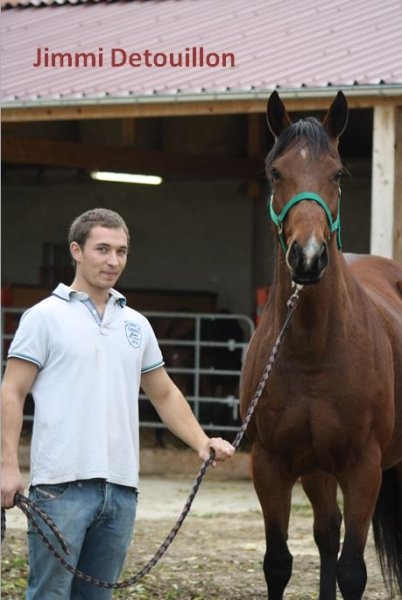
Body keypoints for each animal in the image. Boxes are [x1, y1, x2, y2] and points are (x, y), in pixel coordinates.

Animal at [240, 91, 402, 600]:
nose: (308, 258)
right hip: (317, 470)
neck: (313, 348)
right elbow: (278, 563)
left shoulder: (364, 468)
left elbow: (353, 571)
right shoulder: (271, 465)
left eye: (338, 174)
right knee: (326, 533)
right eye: (275, 172)